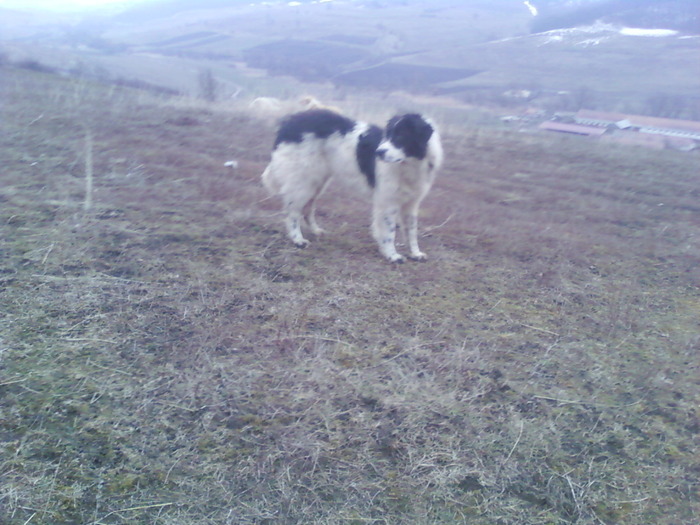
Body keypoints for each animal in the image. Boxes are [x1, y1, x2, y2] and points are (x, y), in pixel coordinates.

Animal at [262, 108, 442, 262]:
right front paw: (392, 255)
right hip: (303, 181)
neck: (409, 163)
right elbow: (389, 231)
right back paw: (298, 239)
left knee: (307, 208)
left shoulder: (411, 203)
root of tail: (289, 122)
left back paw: (315, 230)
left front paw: (415, 253)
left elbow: (411, 230)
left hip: (316, 182)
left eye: (401, 136)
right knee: (293, 212)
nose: (378, 152)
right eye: (388, 135)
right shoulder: (387, 202)